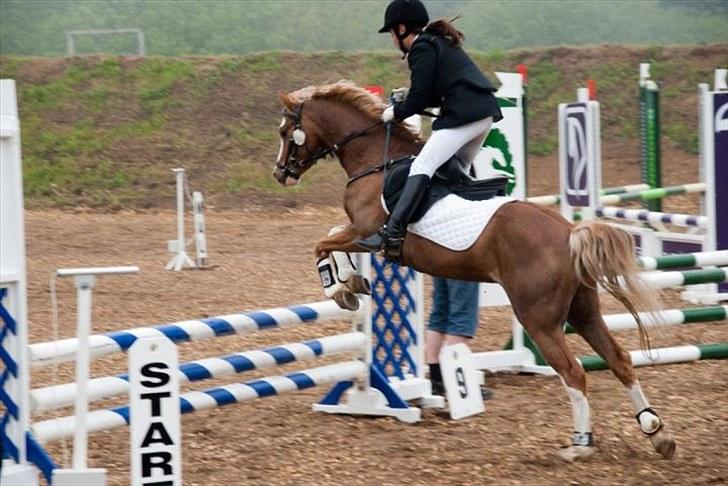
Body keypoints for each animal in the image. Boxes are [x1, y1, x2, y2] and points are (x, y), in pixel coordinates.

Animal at [272, 81, 675, 461]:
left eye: (285, 131)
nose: (280, 174)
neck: (376, 160)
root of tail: (569, 233)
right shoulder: (359, 233)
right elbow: (330, 236)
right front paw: (352, 281)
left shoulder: (367, 232)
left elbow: (323, 244)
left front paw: (340, 288)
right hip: (583, 310)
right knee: (619, 360)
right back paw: (656, 432)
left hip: (539, 320)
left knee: (574, 372)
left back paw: (580, 445)